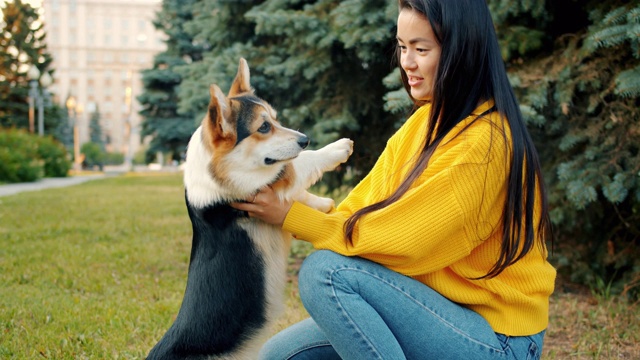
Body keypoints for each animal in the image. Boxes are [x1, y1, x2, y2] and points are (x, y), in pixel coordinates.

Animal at [146, 57, 356, 358]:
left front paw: (323, 205)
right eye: (264, 127)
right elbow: (295, 165)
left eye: (276, 119)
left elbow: (298, 192)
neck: (214, 166)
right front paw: (336, 148)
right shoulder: (255, 184)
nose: (305, 139)